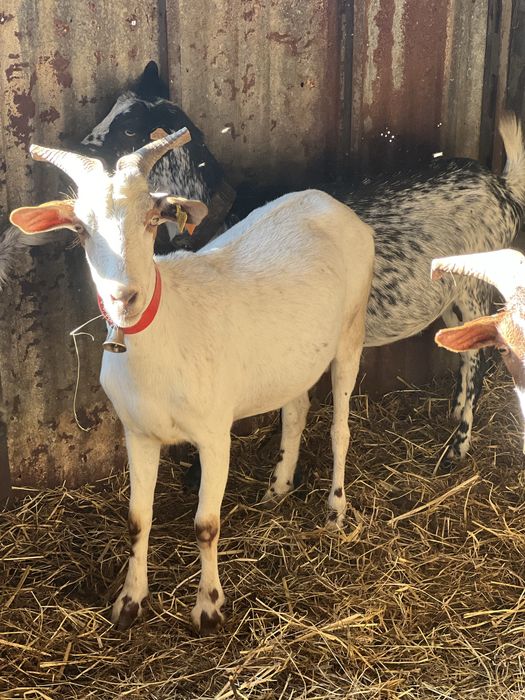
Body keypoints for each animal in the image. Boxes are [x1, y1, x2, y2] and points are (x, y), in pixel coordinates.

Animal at [10, 130, 374, 633]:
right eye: (80, 229)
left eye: (152, 219)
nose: (124, 297)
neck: (165, 334)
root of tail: (329, 202)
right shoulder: (138, 433)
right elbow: (137, 519)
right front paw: (129, 602)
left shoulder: (214, 433)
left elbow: (206, 525)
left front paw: (209, 608)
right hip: (295, 356)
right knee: (296, 409)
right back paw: (277, 489)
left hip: (351, 330)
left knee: (340, 427)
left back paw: (335, 510)